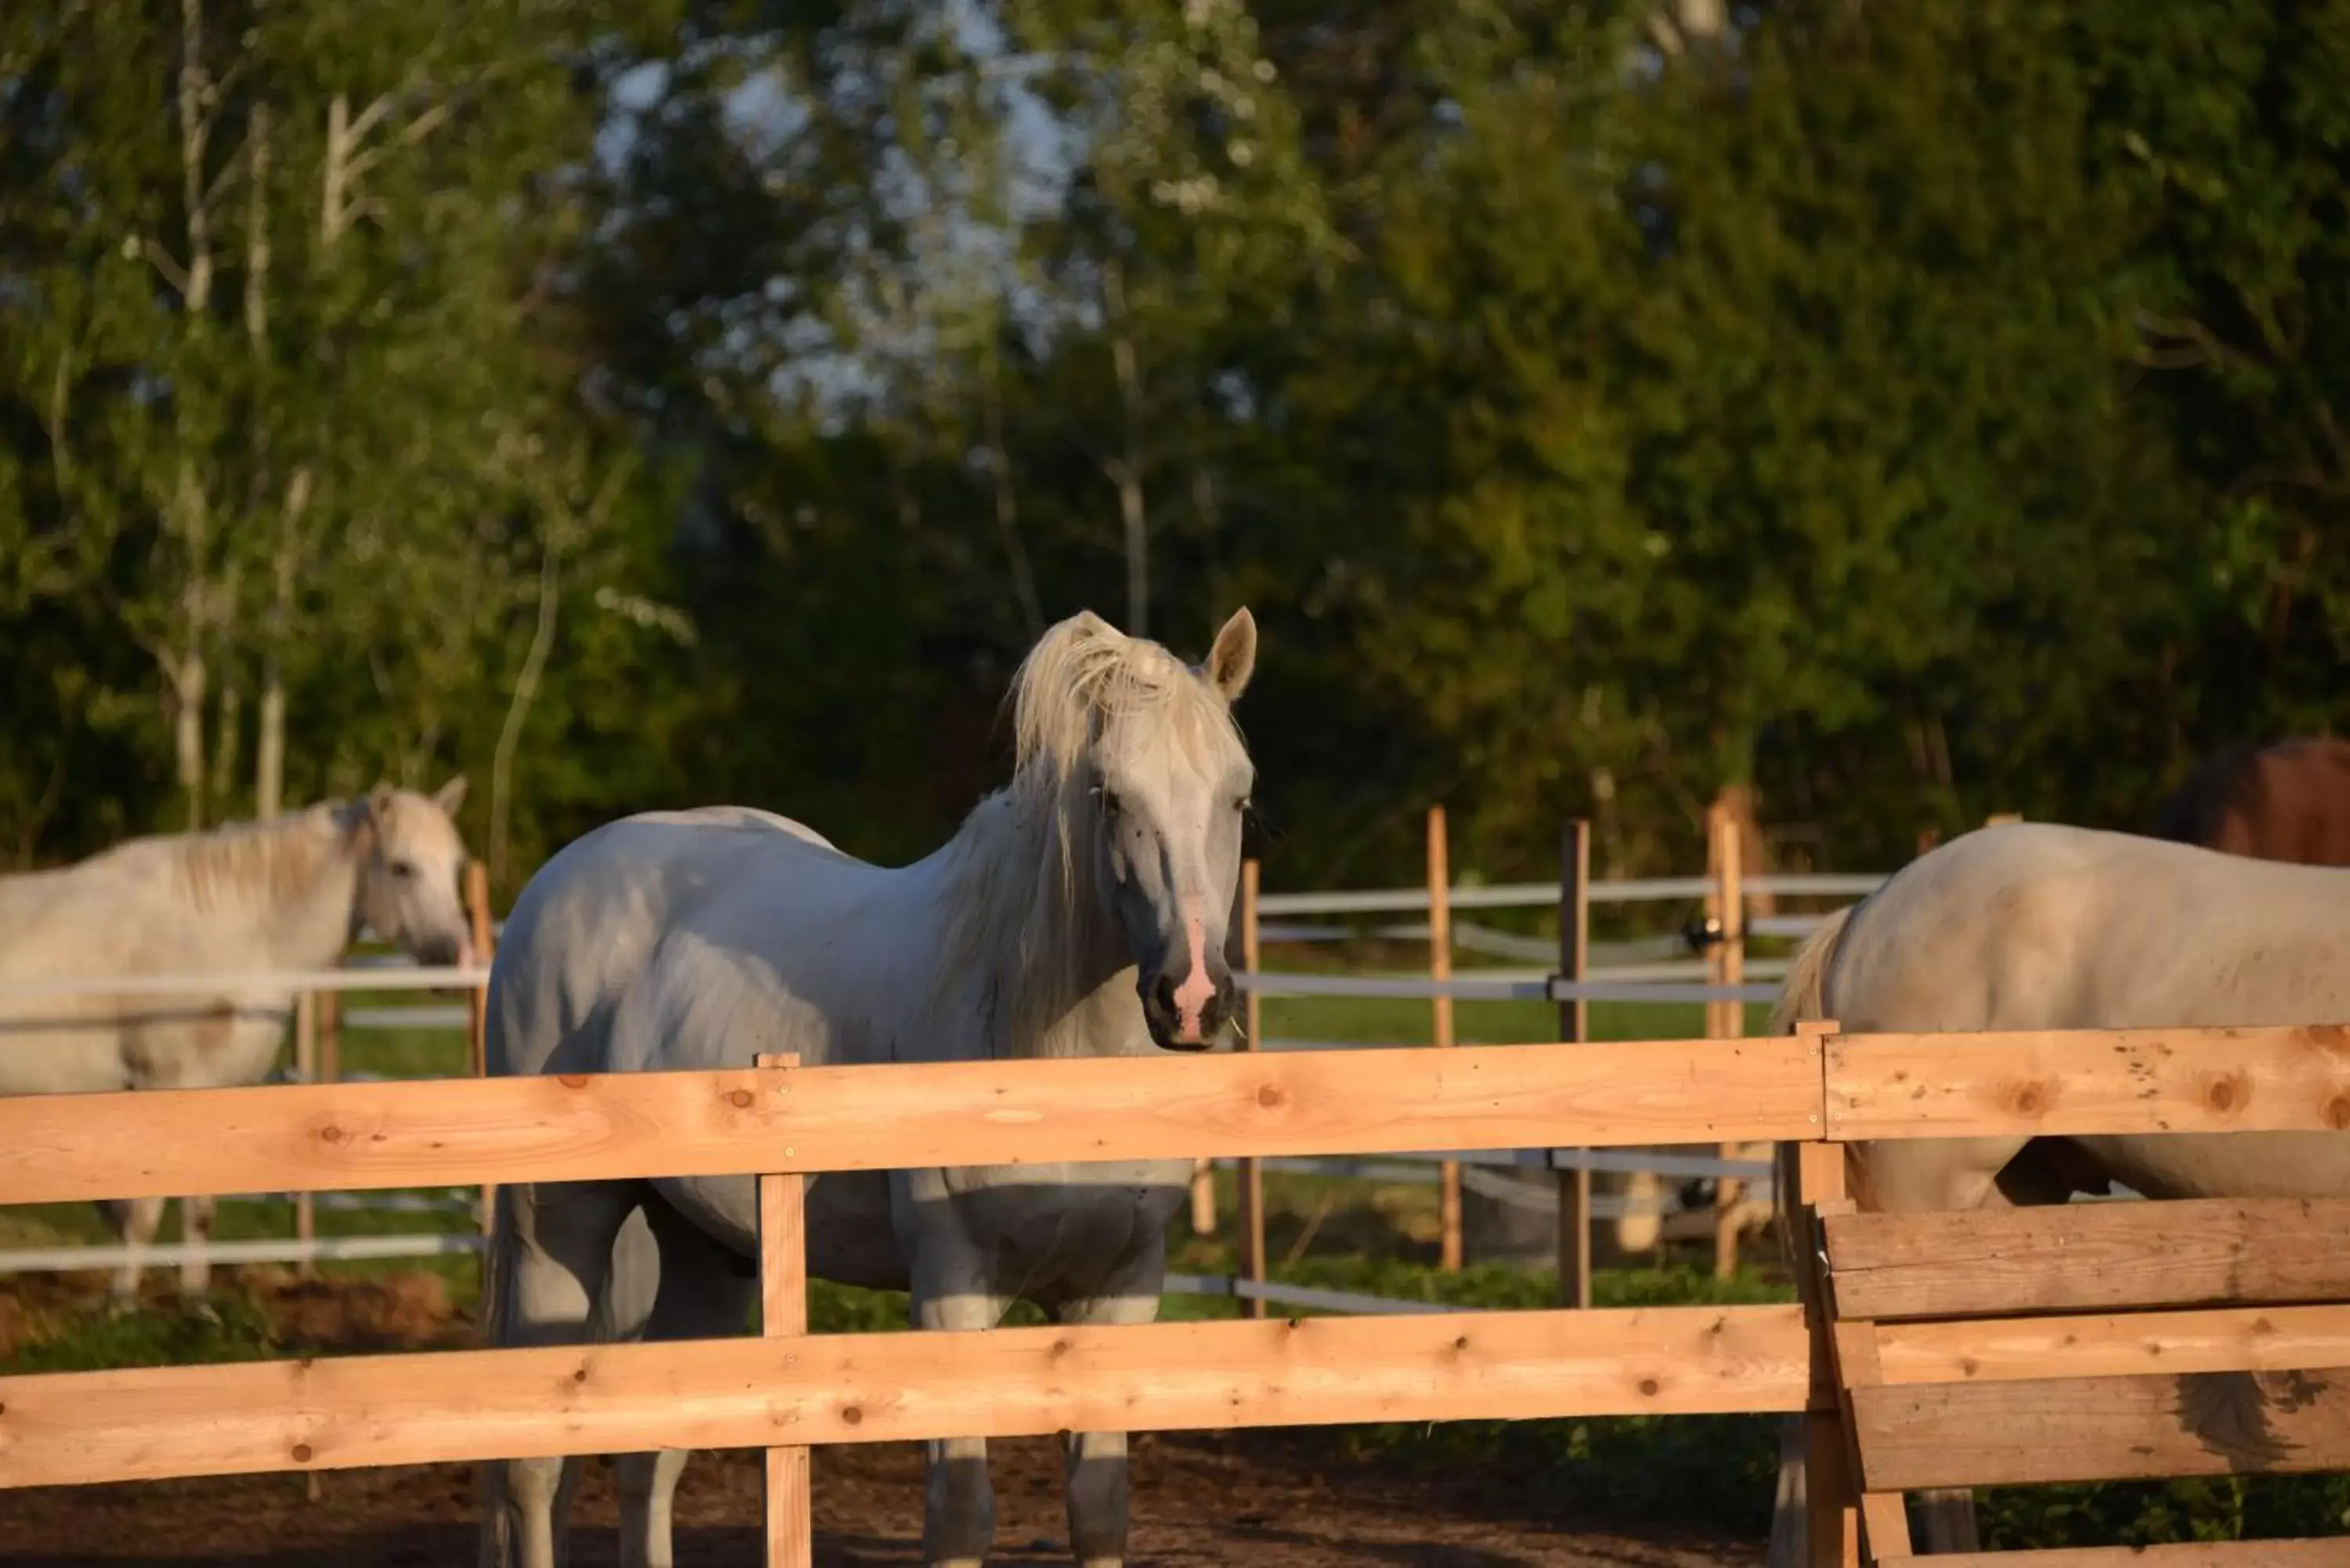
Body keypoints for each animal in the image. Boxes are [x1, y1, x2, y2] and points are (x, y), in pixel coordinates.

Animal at [0, 780, 477, 1297]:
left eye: (455, 867)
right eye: (402, 867)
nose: (455, 958)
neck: (226, 935)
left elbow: (200, 1209)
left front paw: (194, 1300)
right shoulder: (161, 1086)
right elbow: (144, 1211)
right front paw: (122, 1301)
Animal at [468, 611, 1260, 1568]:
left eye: (1238, 796)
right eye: (1110, 796)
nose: (1192, 995)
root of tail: (557, 883)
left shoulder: (1121, 1292)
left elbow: (1100, 1507)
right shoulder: (952, 1292)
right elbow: (961, 1513)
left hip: (706, 1250)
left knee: (648, 1457)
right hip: (557, 1229)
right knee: (532, 1467)